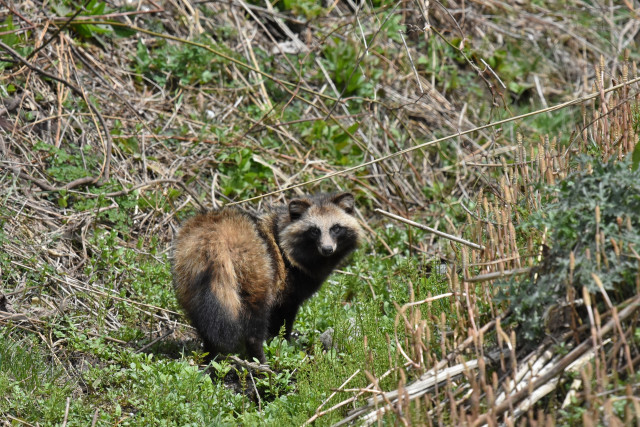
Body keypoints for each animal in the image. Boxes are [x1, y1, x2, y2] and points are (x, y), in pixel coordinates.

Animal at [170, 192, 362, 362]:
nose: (327, 249)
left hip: (187, 275)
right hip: (256, 271)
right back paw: (259, 360)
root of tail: (214, 233)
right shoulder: (288, 288)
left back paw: (209, 355)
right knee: (255, 319)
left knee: (204, 320)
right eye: (314, 231)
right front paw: (284, 343)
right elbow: (283, 321)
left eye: (335, 228)